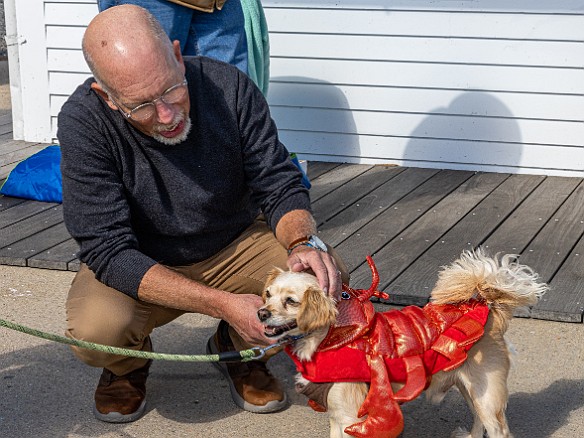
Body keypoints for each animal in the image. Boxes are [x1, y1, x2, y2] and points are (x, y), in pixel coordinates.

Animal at [258, 250, 544, 438]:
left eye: (291, 301)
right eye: (267, 295)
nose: (260, 313)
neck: (328, 337)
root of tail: (489, 307)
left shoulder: (351, 417)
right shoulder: (337, 417)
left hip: (487, 397)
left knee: (497, 430)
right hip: (470, 389)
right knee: (477, 418)